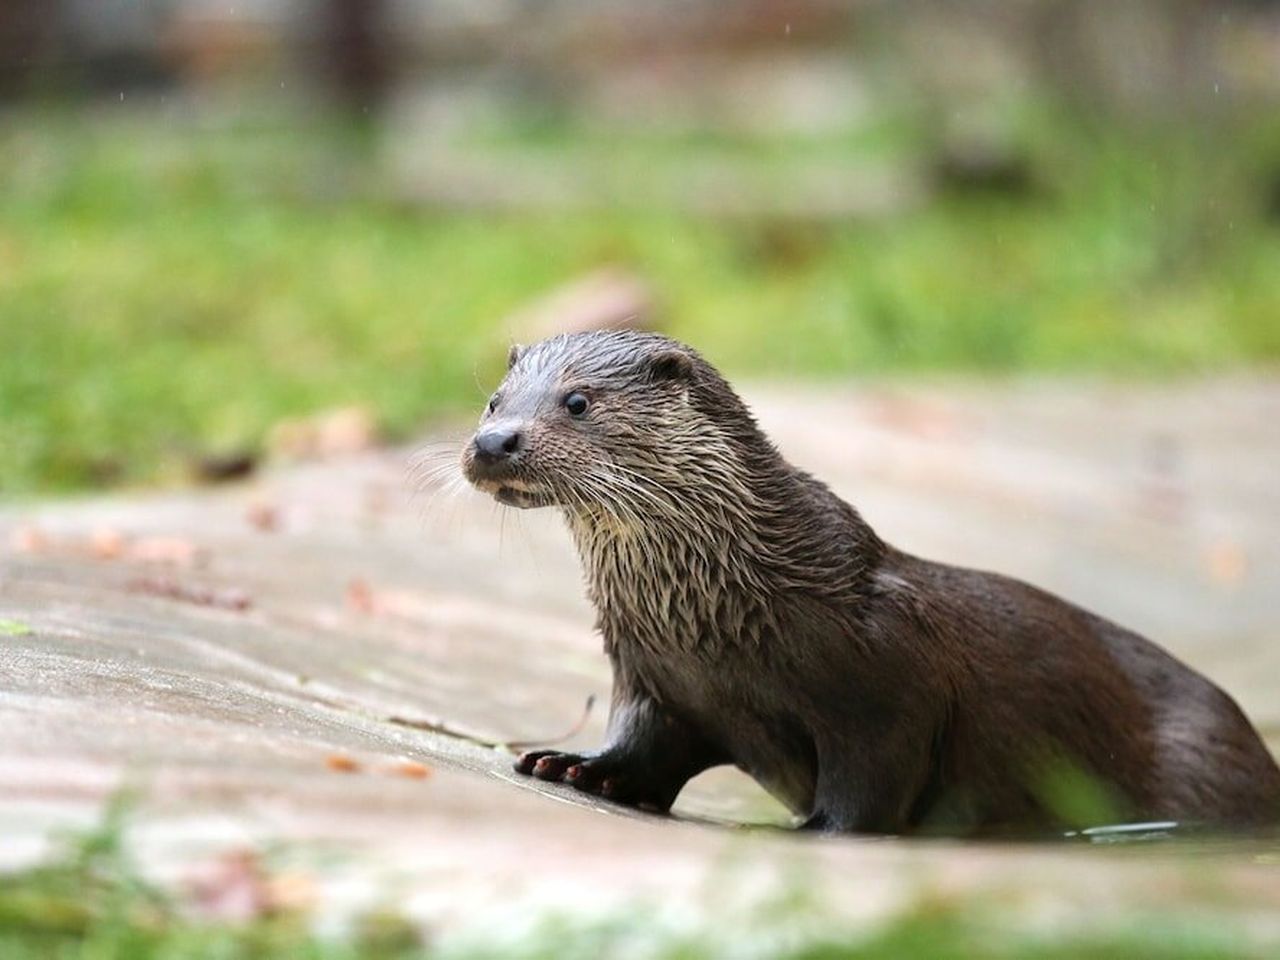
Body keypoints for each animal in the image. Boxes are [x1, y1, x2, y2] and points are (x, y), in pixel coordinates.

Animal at [460, 330, 1280, 834]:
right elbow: (643, 742)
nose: (493, 442)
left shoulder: (890, 688)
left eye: (577, 401)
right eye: (494, 401)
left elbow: (871, 779)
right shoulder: (654, 675)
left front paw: (815, 830)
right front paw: (576, 765)